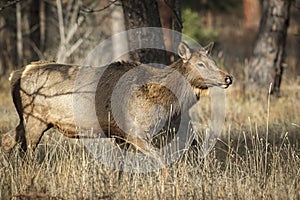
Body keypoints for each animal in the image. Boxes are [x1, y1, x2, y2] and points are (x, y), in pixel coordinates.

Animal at [1, 41, 233, 165]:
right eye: (201, 64)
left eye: (213, 61)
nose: (228, 78)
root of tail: (17, 74)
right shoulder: (135, 131)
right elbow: (160, 159)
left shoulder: (120, 136)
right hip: (35, 119)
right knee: (27, 153)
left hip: (28, 120)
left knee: (7, 139)